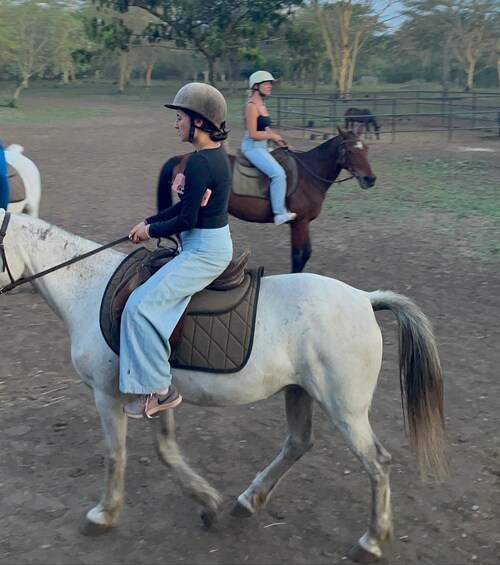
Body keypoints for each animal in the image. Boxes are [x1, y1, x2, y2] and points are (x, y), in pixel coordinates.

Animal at [0, 209, 446, 560]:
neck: (88, 287)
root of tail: (365, 299)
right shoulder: (155, 396)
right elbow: (167, 452)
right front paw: (207, 503)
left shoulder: (107, 394)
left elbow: (115, 455)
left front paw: (102, 515)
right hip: (300, 393)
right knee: (299, 443)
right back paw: (248, 501)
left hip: (346, 410)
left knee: (377, 463)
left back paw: (371, 541)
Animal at [156, 126, 376, 272]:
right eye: (350, 151)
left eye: (365, 149)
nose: (370, 179)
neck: (310, 174)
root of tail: (184, 157)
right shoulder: (300, 222)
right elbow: (300, 255)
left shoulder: (300, 223)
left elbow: (302, 254)